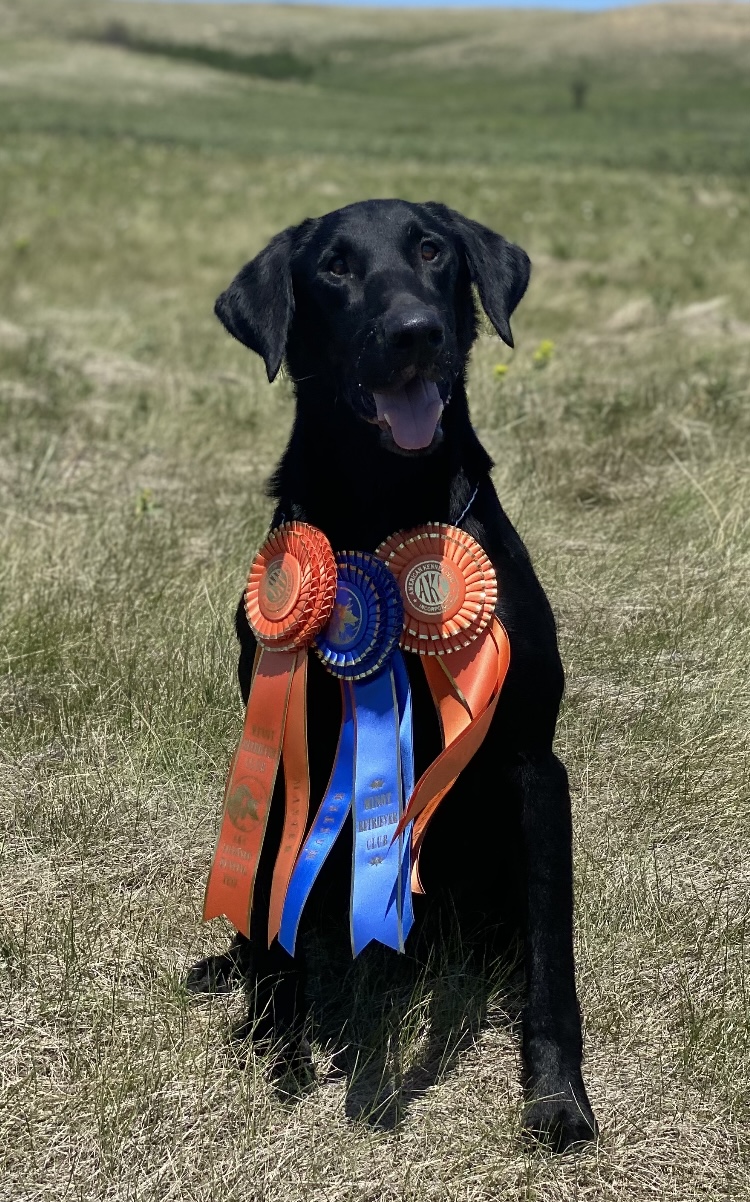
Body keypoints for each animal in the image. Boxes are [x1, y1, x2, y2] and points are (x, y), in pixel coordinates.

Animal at [188, 201, 598, 1149]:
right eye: (334, 269)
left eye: (432, 250)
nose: (414, 331)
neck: (388, 507)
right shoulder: (283, 746)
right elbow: (274, 941)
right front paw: (277, 1046)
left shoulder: (534, 765)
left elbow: (551, 964)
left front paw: (557, 1098)